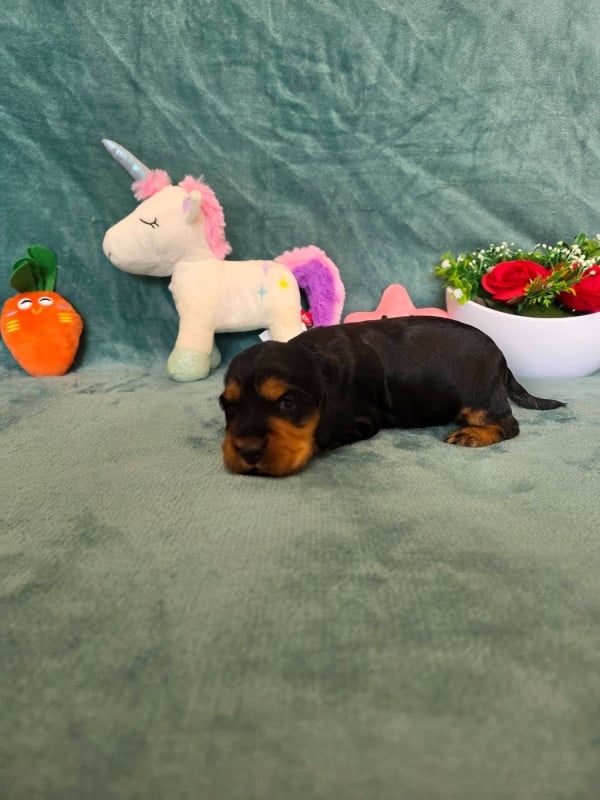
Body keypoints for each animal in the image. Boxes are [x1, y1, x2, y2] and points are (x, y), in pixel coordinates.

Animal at [219, 317, 565, 476]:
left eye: (287, 403)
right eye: (227, 407)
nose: (247, 451)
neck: (318, 358)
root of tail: (502, 357)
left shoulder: (362, 419)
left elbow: (322, 436)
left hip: (478, 400)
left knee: (510, 425)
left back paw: (472, 436)